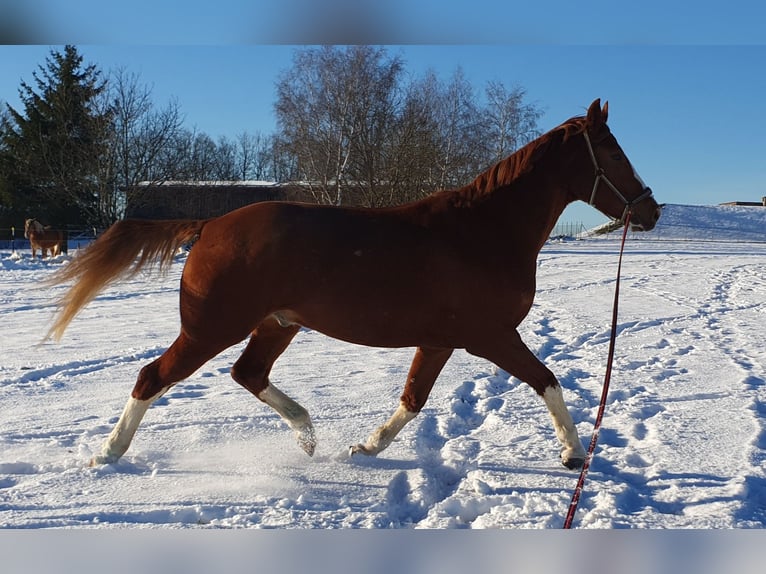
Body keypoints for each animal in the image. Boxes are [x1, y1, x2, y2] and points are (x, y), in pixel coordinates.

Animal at [45, 100, 664, 472]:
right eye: (612, 150)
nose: (651, 210)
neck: (482, 232)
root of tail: (211, 225)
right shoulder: (491, 336)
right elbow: (547, 381)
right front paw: (575, 453)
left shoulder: (441, 340)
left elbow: (412, 399)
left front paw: (366, 446)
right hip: (212, 328)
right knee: (152, 377)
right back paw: (108, 454)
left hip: (275, 325)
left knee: (248, 374)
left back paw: (307, 434)